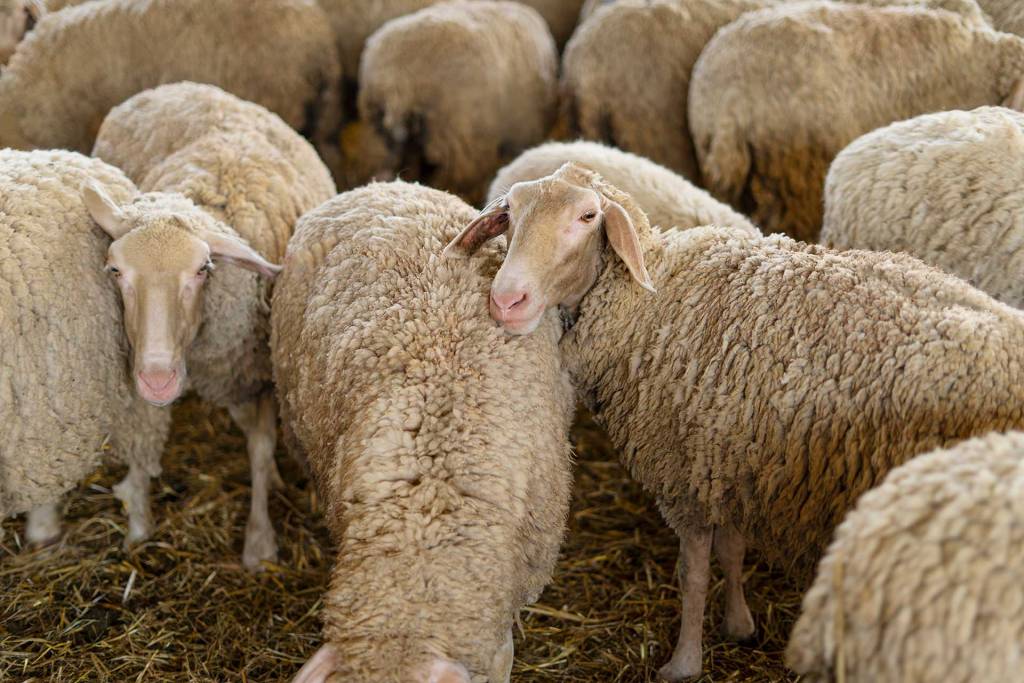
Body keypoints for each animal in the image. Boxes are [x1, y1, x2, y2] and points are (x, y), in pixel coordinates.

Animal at [86, 82, 336, 569]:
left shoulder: (258, 371)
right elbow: (145, 434)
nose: (159, 380)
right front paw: (137, 515)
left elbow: (260, 447)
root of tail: (173, 85)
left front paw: (259, 542)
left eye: (203, 269)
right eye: (115, 270)